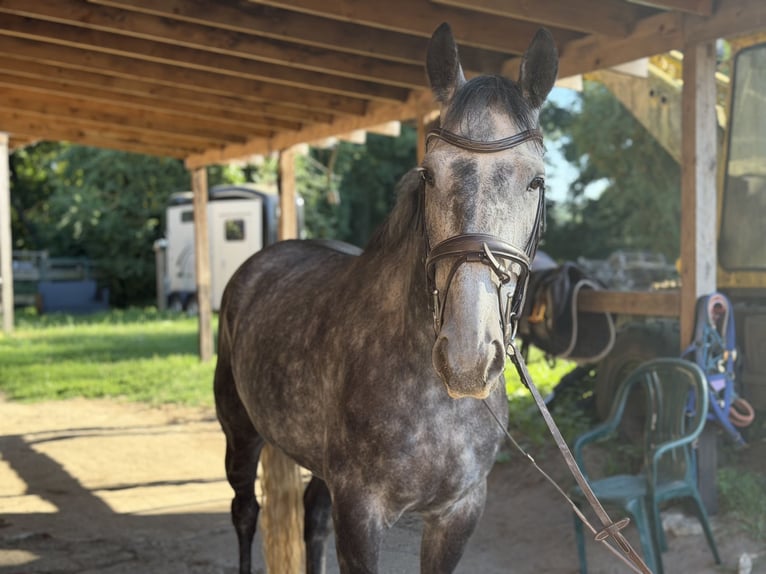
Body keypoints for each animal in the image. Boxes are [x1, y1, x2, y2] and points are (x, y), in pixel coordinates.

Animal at [214, 22, 558, 574]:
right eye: (430, 174)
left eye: (537, 180)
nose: (467, 358)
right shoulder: (360, 512)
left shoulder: (458, 512)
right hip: (239, 433)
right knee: (245, 514)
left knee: (311, 516)